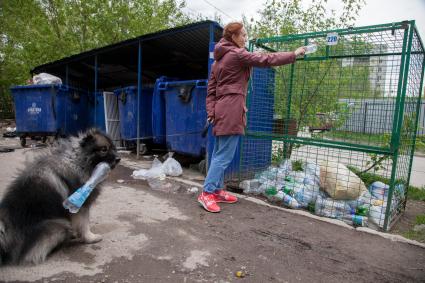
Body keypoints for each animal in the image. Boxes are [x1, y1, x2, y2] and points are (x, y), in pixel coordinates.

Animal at [0, 129, 120, 266]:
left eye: (114, 148)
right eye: (104, 149)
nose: (118, 158)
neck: (78, 161)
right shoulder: (81, 207)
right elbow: (85, 224)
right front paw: (90, 237)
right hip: (59, 226)